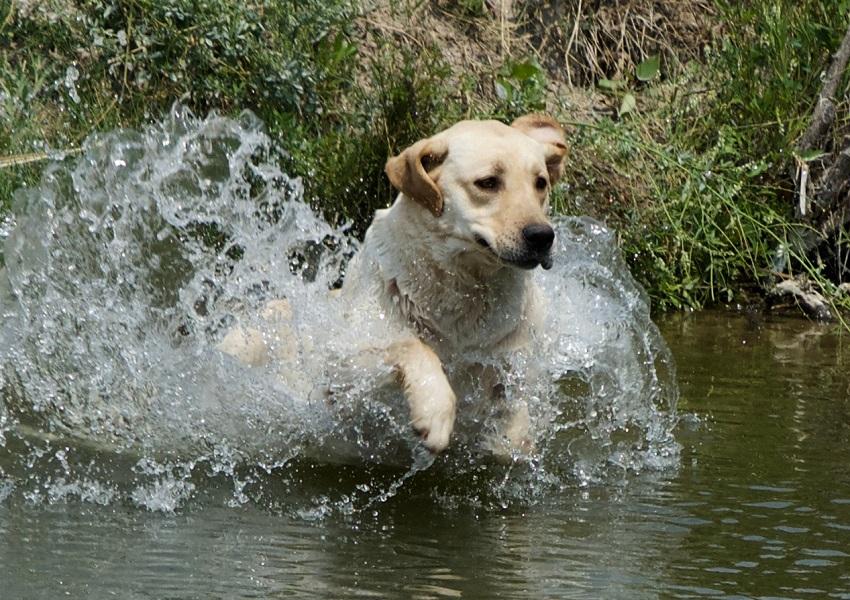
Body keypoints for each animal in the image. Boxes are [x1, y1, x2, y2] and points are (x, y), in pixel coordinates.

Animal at [217, 113, 564, 454]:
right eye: (488, 182)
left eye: (540, 183)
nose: (542, 236)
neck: (464, 288)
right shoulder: (339, 370)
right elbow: (409, 344)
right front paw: (434, 410)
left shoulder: (516, 362)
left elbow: (516, 430)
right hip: (252, 333)